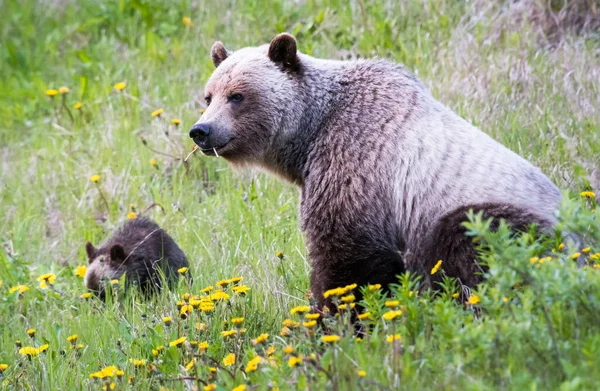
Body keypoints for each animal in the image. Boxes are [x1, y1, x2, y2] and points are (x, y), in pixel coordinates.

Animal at [191, 33, 564, 310]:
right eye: (208, 96)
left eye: (237, 95)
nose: (202, 131)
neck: (310, 134)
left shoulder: (358, 168)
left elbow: (347, 259)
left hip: (500, 219)